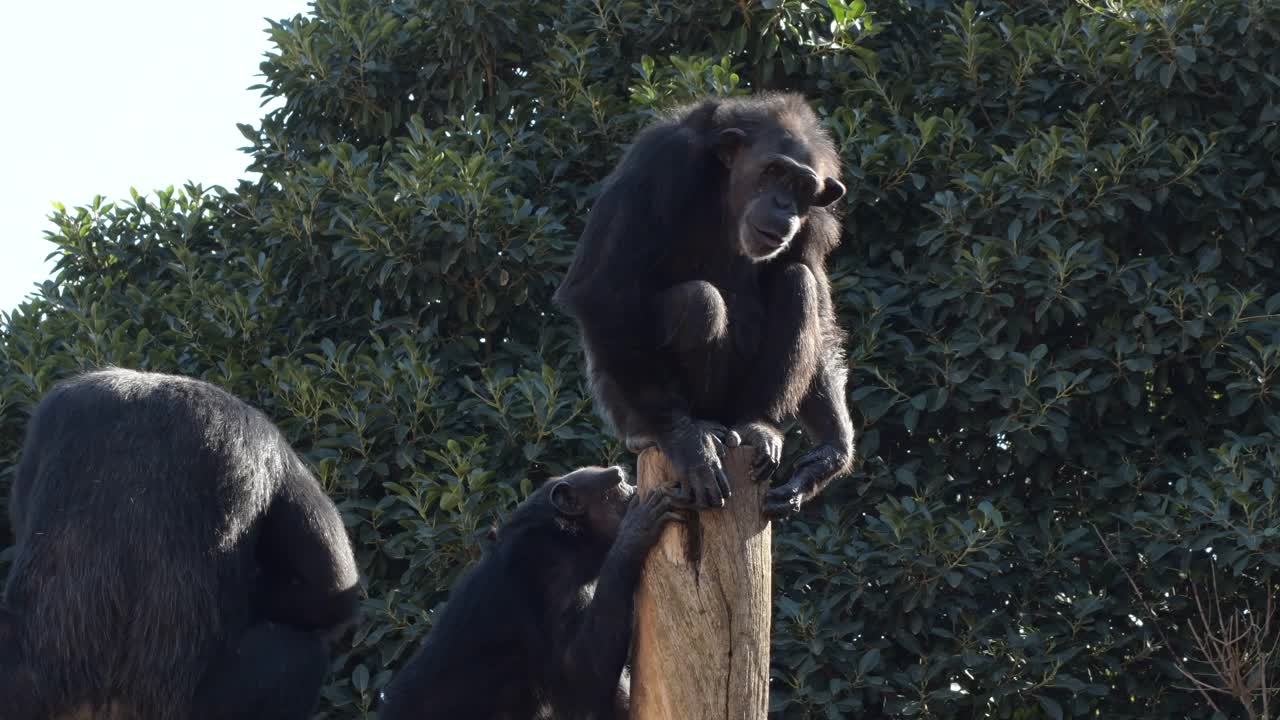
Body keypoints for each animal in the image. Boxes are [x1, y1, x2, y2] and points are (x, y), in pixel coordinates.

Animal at [378, 461, 680, 712]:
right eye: (620, 482)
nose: (636, 488)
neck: (570, 539)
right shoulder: (545, 573)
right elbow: (578, 674)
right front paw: (634, 531)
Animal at [555, 92, 855, 517]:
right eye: (773, 171)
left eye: (800, 185)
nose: (783, 204)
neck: (726, 189)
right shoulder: (661, 162)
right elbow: (605, 285)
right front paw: (685, 442)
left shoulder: (818, 220)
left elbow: (823, 314)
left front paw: (829, 455)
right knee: (698, 300)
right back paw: (677, 430)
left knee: (797, 281)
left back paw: (758, 426)